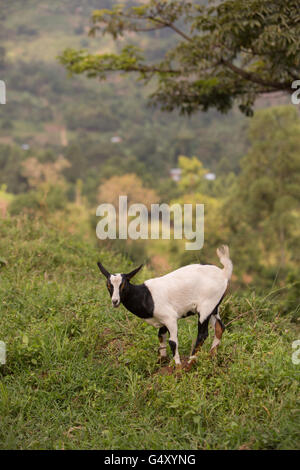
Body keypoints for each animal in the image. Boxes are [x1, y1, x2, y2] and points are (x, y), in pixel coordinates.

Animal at [98, 244, 232, 370]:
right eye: (108, 285)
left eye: (123, 285)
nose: (115, 301)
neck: (146, 295)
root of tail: (223, 273)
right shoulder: (162, 320)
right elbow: (161, 336)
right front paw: (161, 361)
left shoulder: (170, 318)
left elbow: (172, 342)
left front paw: (178, 368)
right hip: (214, 307)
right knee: (220, 327)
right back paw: (211, 357)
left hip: (205, 308)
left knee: (202, 334)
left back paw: (189, 364)